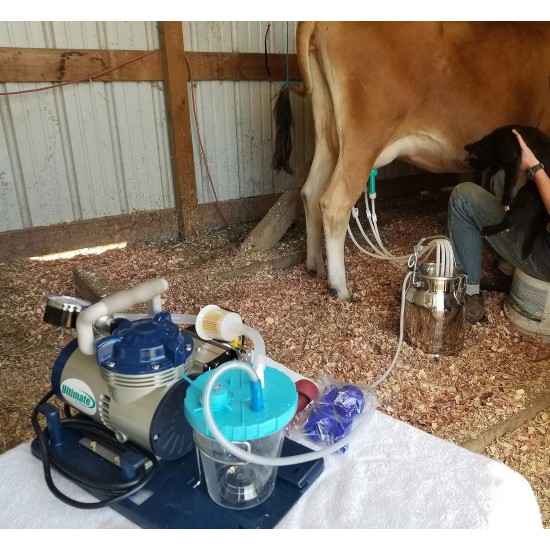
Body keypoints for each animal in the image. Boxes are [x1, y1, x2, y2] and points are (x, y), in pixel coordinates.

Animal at [276, 21, 550, 300]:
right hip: (363, 137)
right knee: (334, 202)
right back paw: (340, 287)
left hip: (328, 135)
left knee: (310, 192)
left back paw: (314, 265)